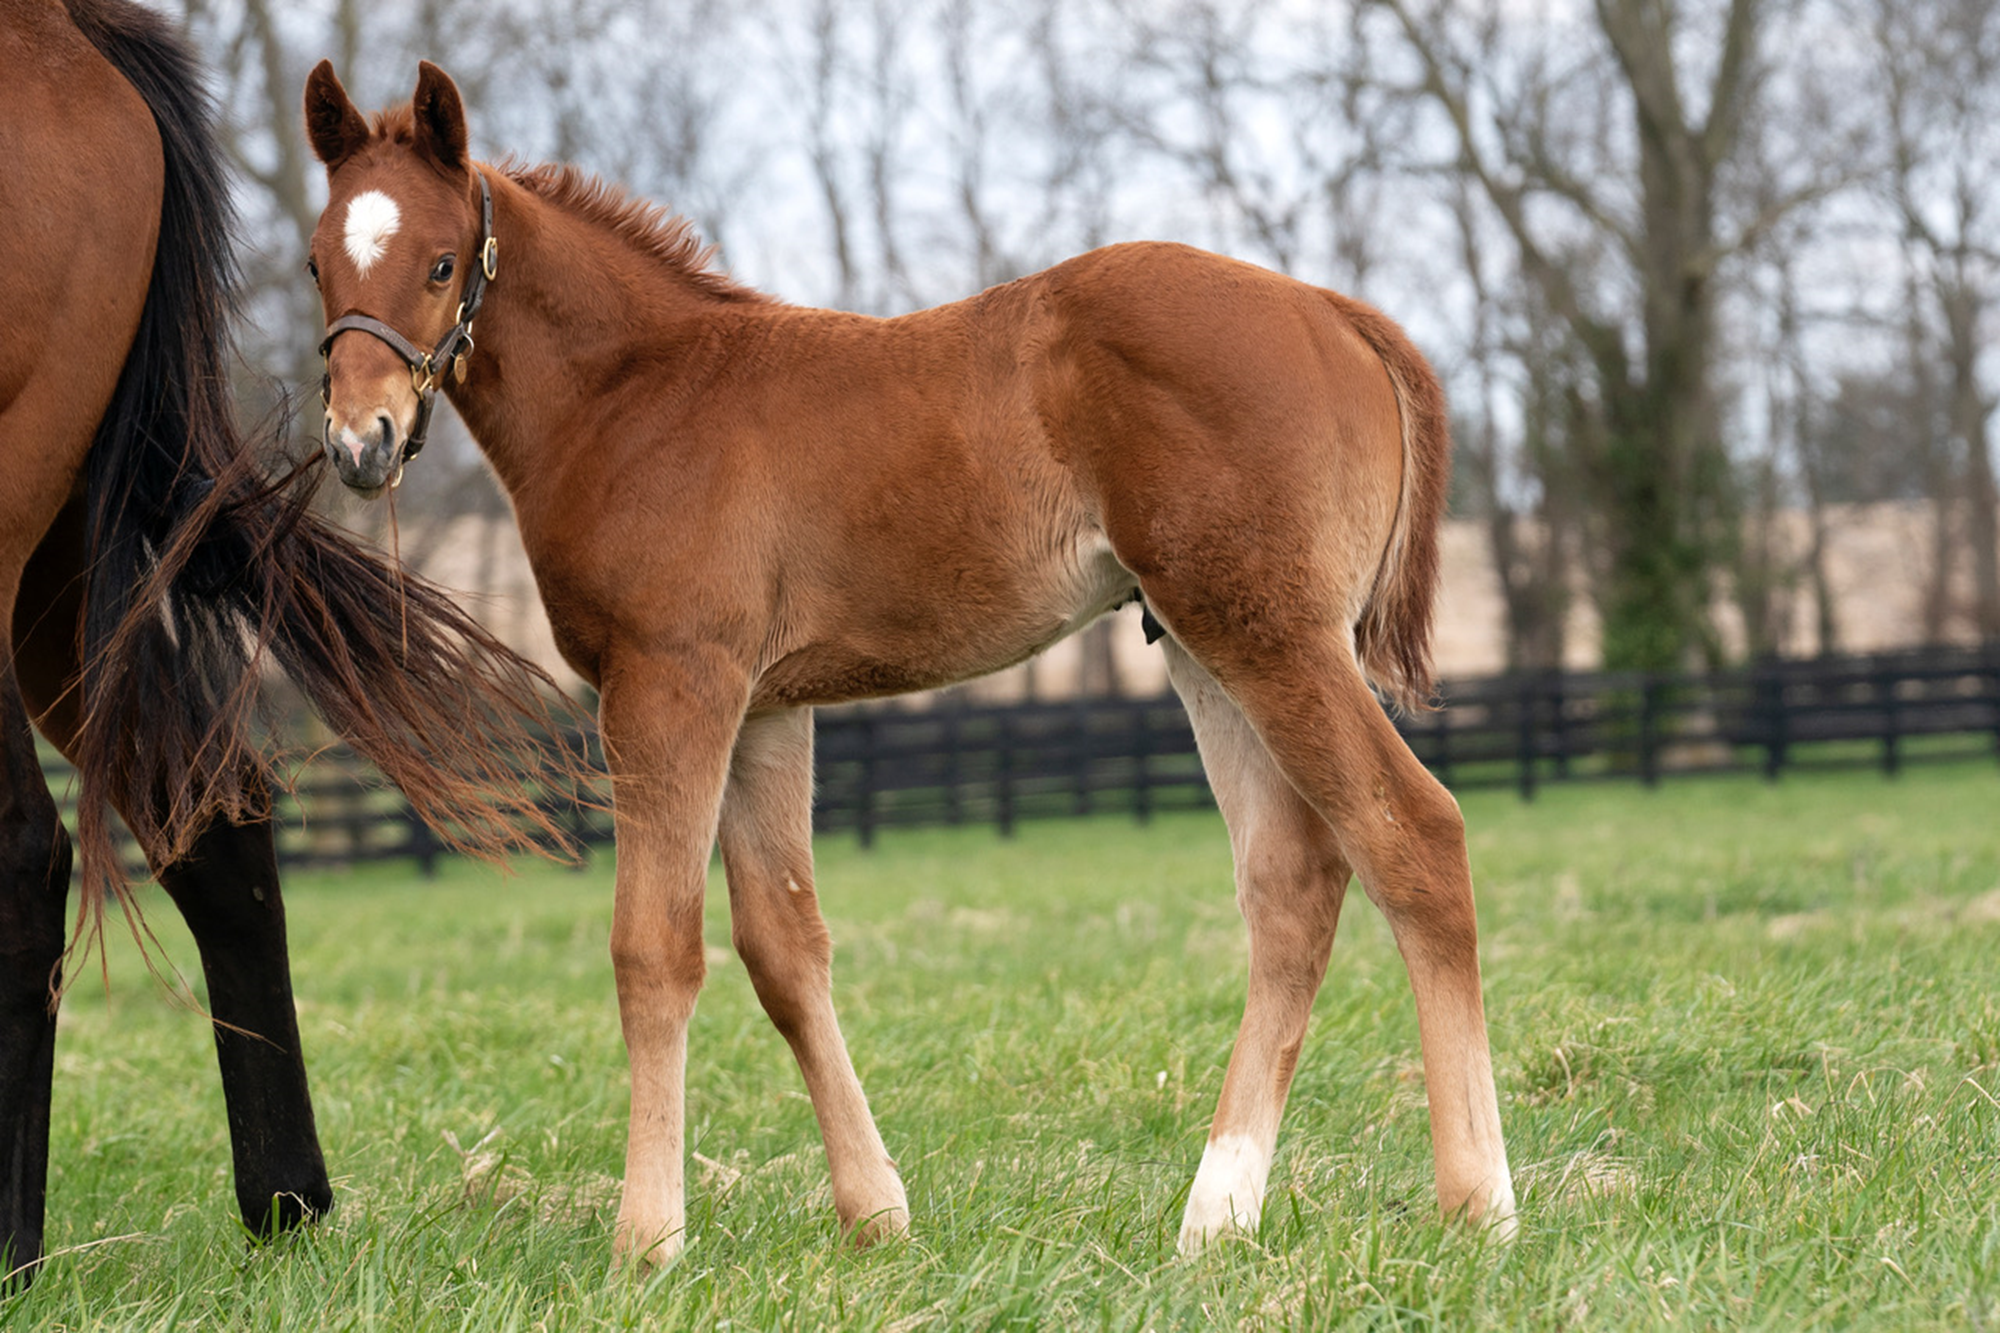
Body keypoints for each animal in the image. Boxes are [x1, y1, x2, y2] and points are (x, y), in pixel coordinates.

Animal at [304, 62, 1504, 1264]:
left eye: (442, 262)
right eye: (317, 261)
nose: (359, 442)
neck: (638, 396)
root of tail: (1336, 312)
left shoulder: (670, 685)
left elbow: (655, 949)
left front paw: (647, 1240)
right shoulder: (765, 708)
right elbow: (784, 948)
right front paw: (874, 1213)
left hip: (1272, 637)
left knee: (1413, 833)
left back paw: (1476, 1202)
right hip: (1205, 644)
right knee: (1291, 881)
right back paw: (1215, 1215)